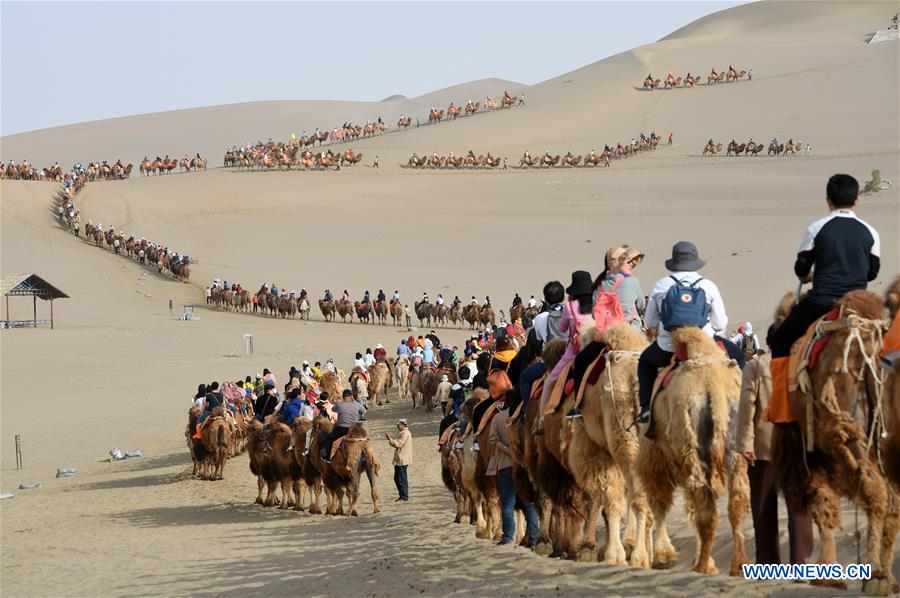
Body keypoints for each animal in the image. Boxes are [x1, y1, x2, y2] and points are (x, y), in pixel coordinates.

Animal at [636, 328, 748, 576]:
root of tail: (713, 389)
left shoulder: (653, 459)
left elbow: (660, 502)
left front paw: (664, 557)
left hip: (688, 446)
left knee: (703, 506)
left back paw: (701, 566)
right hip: (734, 449)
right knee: (736, 502)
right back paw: (736, 566)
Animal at [768, 292, 896, 596]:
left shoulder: (807, 456)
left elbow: (822, 505)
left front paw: (827, 578)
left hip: (847, 432)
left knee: (876, 494)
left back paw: (876, 577)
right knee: (890, 498)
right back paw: (885, 576)